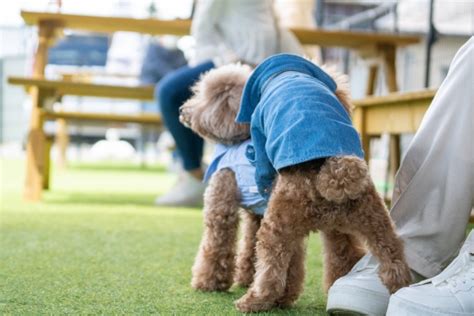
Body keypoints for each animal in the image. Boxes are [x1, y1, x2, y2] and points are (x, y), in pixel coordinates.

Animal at [180, 55, 410, 312]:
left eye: (206, 96)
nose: (183, 110)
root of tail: (334, 170)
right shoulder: (258, 215)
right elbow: (255, 249)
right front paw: (253, 281)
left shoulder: (222, 206)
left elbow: (216, 244)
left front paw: (208, 282)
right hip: (365, 223)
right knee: (380, 259)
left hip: (278, 227)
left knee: (270, 270)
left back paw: (253, 300)